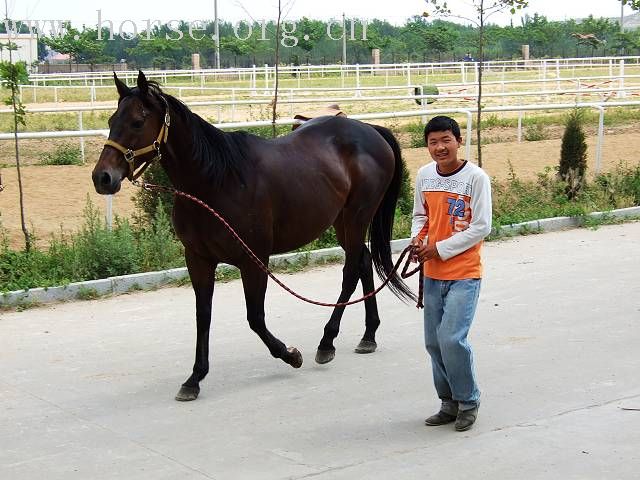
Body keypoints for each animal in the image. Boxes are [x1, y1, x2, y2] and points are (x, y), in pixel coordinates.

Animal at [91, 71, 416, 402]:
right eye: (112, 119)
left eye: (137, 122)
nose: (102, 177)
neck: (216, 182)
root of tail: (371, 130)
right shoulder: (198, 259)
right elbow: (203, 316)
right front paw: (195, 378)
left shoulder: (253, 260)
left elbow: (255, 318)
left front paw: (290, 354)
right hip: (342, 222)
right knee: (363, 261)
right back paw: (369, 334)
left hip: (356, 217)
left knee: (350, 272)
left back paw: (327, 342)